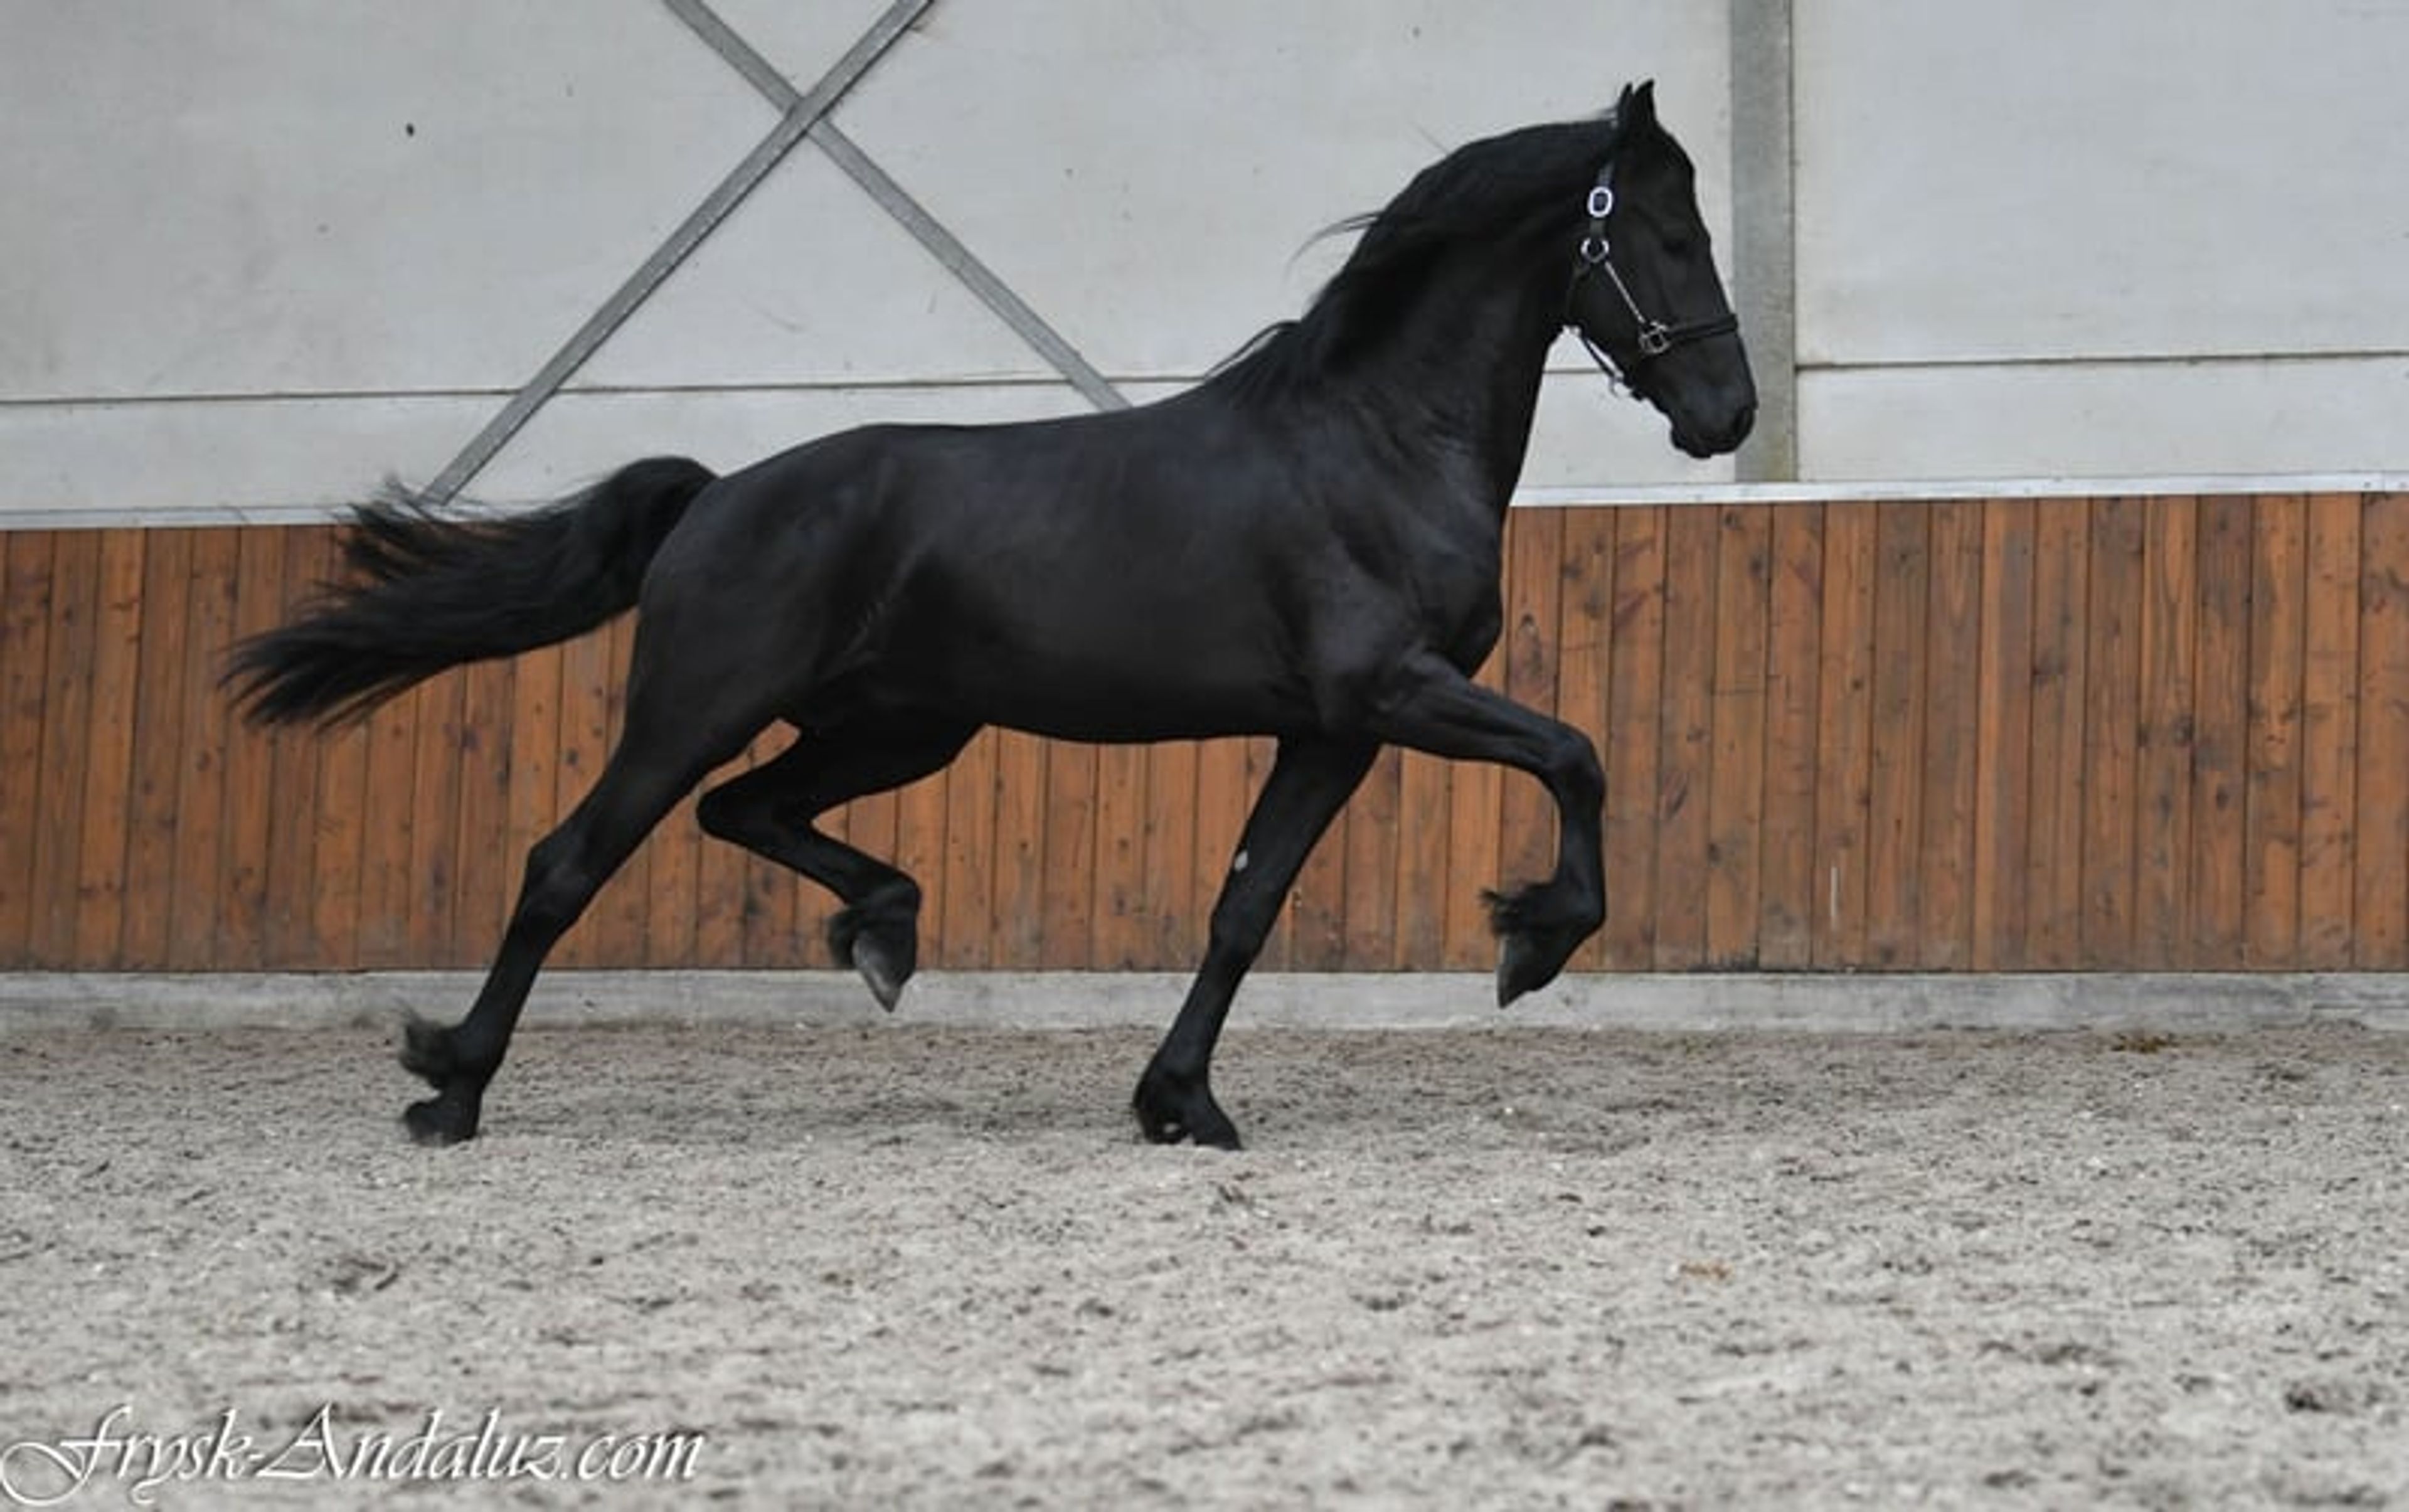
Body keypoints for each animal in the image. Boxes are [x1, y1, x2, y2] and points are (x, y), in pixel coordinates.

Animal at [230, 81, 1756, 1149]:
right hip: (696, 708)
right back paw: (449, 1085)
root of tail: (720, 495)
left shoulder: (1332, 729)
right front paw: (1531, 943)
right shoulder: (1394, 689)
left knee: (748, 812)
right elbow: (1577, 756)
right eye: (1671, 236)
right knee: (569, 863)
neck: (1375, 439)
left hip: (903, 728)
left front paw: (1179, 1102)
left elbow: (1244, 906)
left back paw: (884, 934)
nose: (1729, 413)